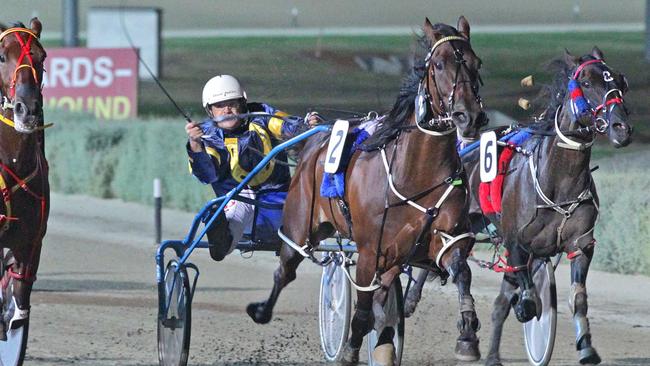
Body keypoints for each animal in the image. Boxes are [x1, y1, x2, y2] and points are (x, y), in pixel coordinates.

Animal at [246, 15, 488, 364]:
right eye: (440, 65)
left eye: (476, 62)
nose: (469, 116)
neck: (415, 175)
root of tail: (315, 140)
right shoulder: (370, 251)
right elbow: (360, 312)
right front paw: (349, 350)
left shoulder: (445, 237)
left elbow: (462, 273)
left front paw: (468, 334)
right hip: (299, 224)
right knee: (286, 270)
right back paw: (262, 310)